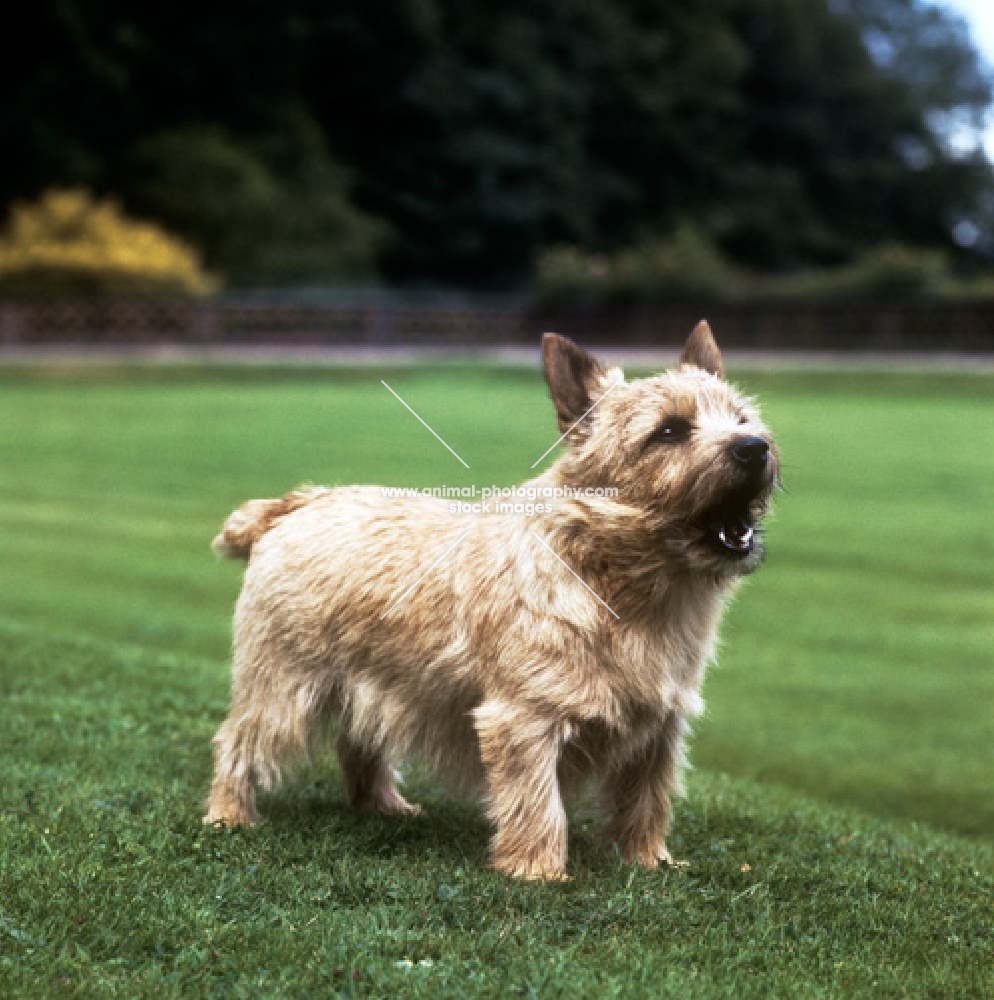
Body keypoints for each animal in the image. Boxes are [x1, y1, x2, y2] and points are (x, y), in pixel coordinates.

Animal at [205, 324, 780, 880]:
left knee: (359, 740)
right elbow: (537, 801)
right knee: (239, 740)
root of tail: (299, 503)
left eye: (741, 417)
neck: (618, 581)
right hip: (284, 683)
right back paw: (229, 816)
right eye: (669, 431)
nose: (754, 446)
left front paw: (647, 860)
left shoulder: (661, 724)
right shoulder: (524, 717)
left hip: (369, 682)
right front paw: (538, 873)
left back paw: (383, 804)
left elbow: (648, 797)